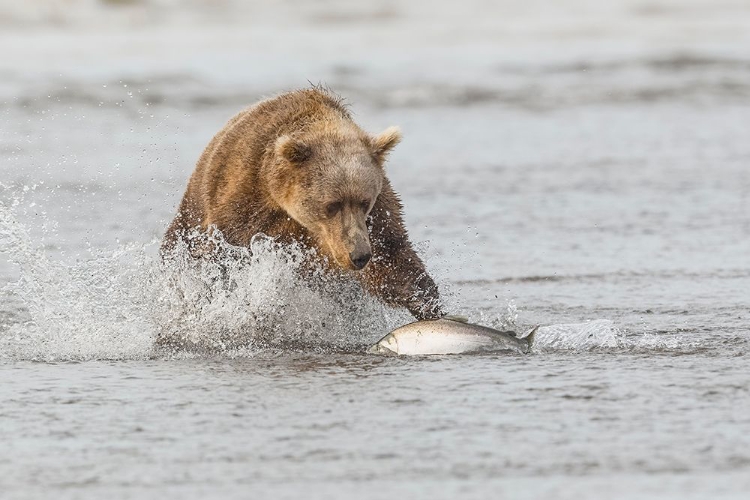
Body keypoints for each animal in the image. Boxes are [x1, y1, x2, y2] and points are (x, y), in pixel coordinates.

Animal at [164, 87, 444, 320]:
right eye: (332, 204)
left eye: (364, 201)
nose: (359, 255)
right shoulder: (247, 201)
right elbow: (223, 254)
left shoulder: (376, 212)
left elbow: (391, 255)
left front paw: (428, 303)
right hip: (192, 210)